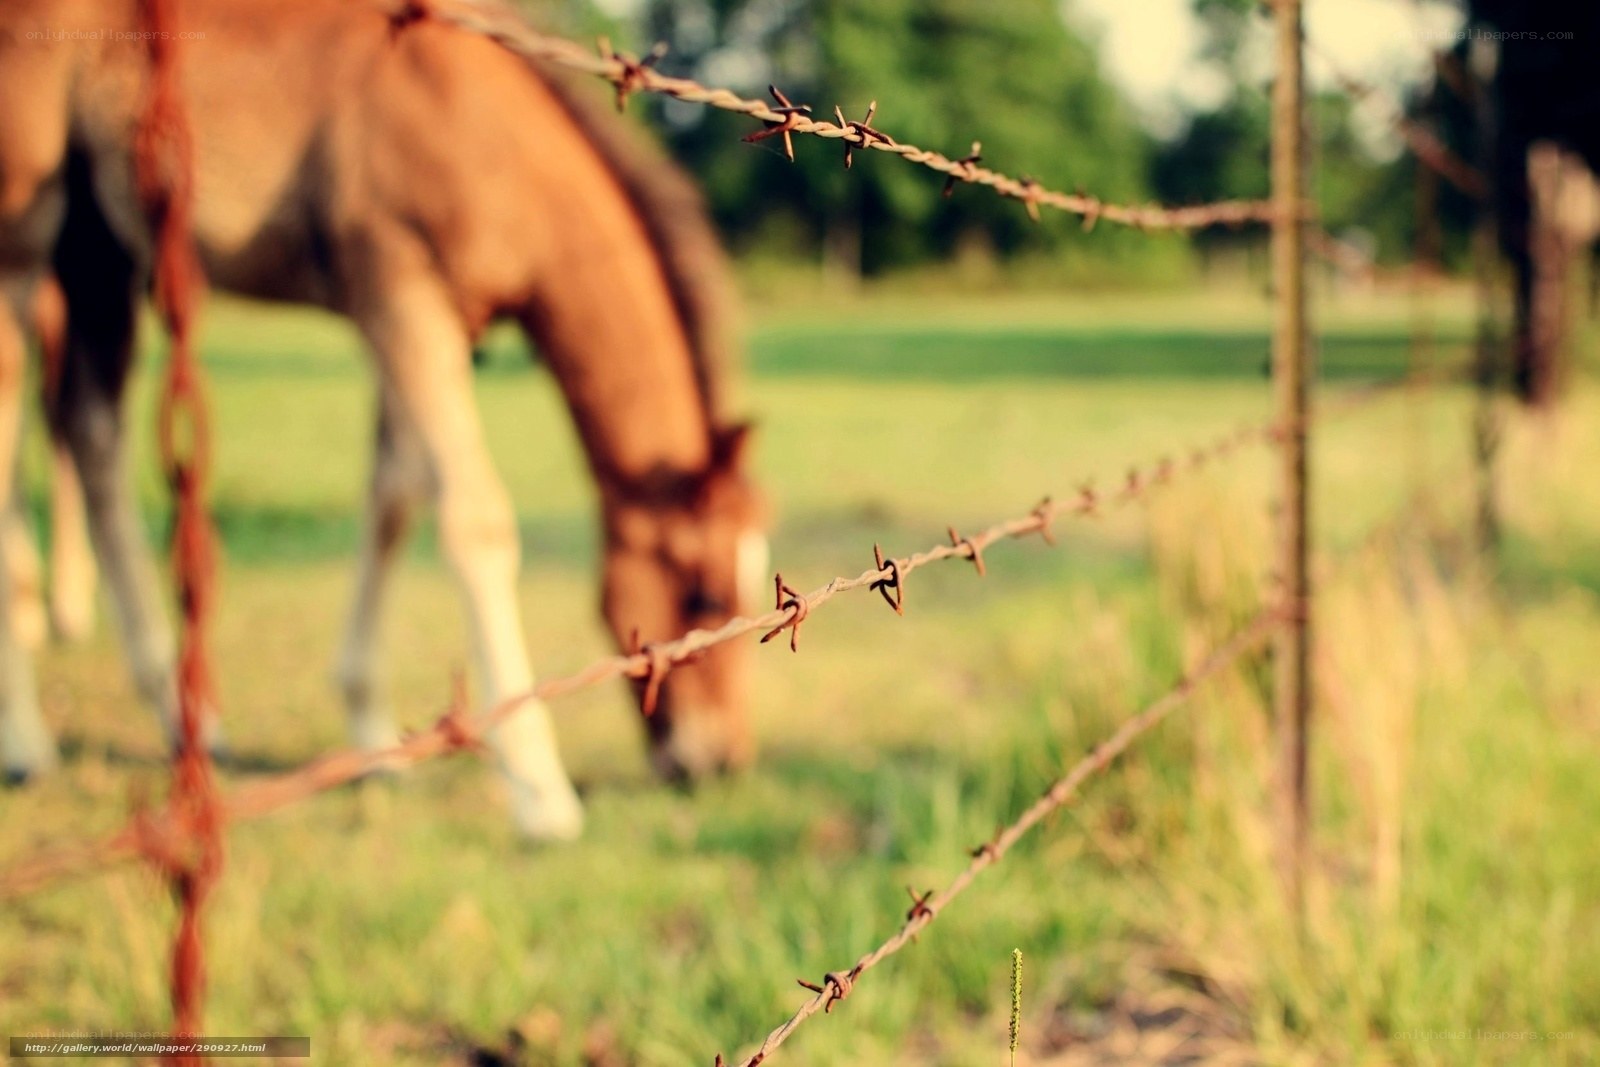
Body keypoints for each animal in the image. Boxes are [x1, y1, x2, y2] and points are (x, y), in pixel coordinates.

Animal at [0, 0, 768, 840]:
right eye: (704, 596)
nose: (720, 760)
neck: (484, 134)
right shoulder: (401, 294)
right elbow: (473, 519)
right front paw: (539, 789)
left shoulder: (435, 326)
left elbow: (395, 495)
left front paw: (375, 741)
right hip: (26, 233)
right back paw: (27, 742)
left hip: (99, 250)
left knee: (90, 431)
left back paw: (186, 720)